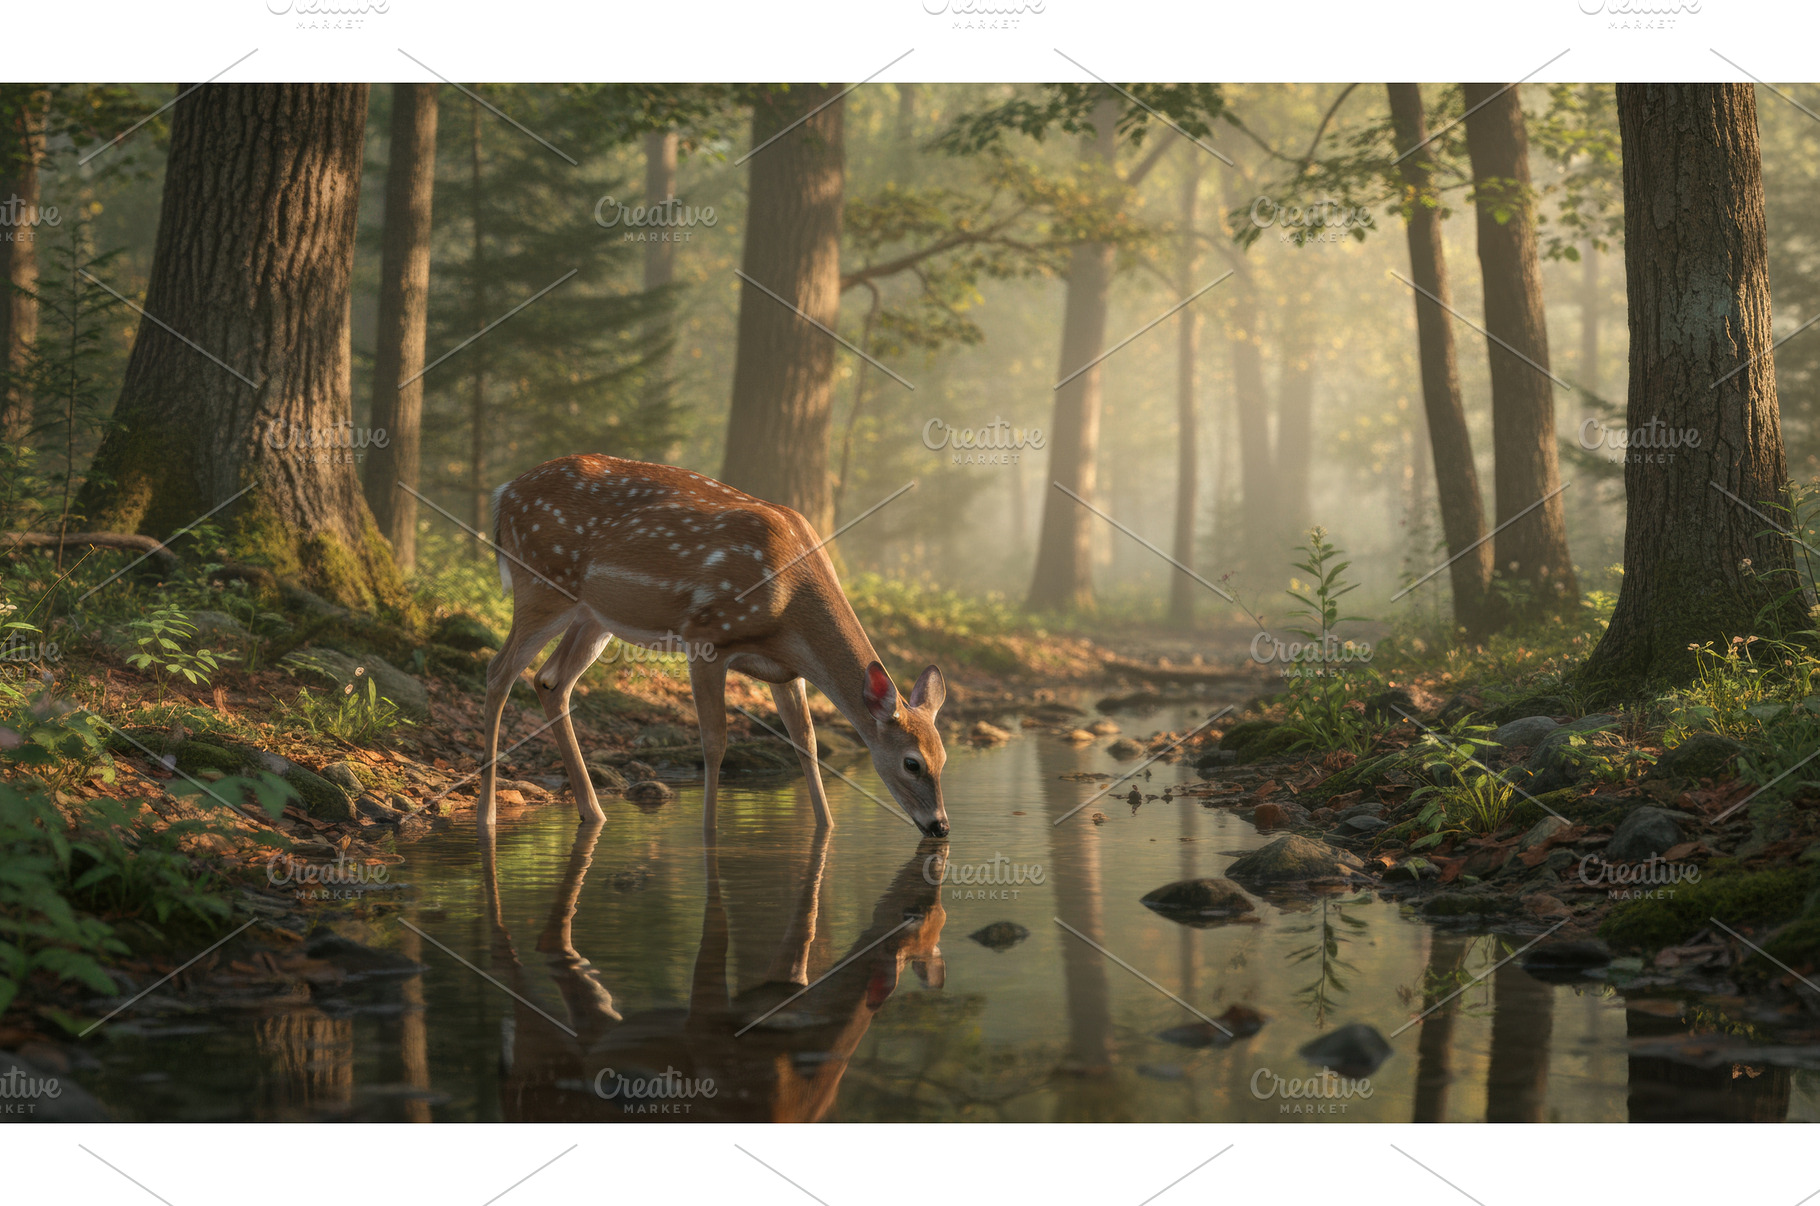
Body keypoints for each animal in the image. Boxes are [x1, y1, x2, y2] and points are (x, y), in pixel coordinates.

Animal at [478, 453, 951, 839]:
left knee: (550, 680)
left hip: (593, 617)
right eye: (912, 762)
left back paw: (593, 813)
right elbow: (715, 741)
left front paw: (826, 827)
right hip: (541, 585)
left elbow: (807, 741)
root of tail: (502, 495)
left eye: (944, 757)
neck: (788, 607)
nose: (940, 826)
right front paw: (710, 831)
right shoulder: (707, 637)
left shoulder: (785, 671)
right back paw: (487, 816)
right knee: (499, 671)